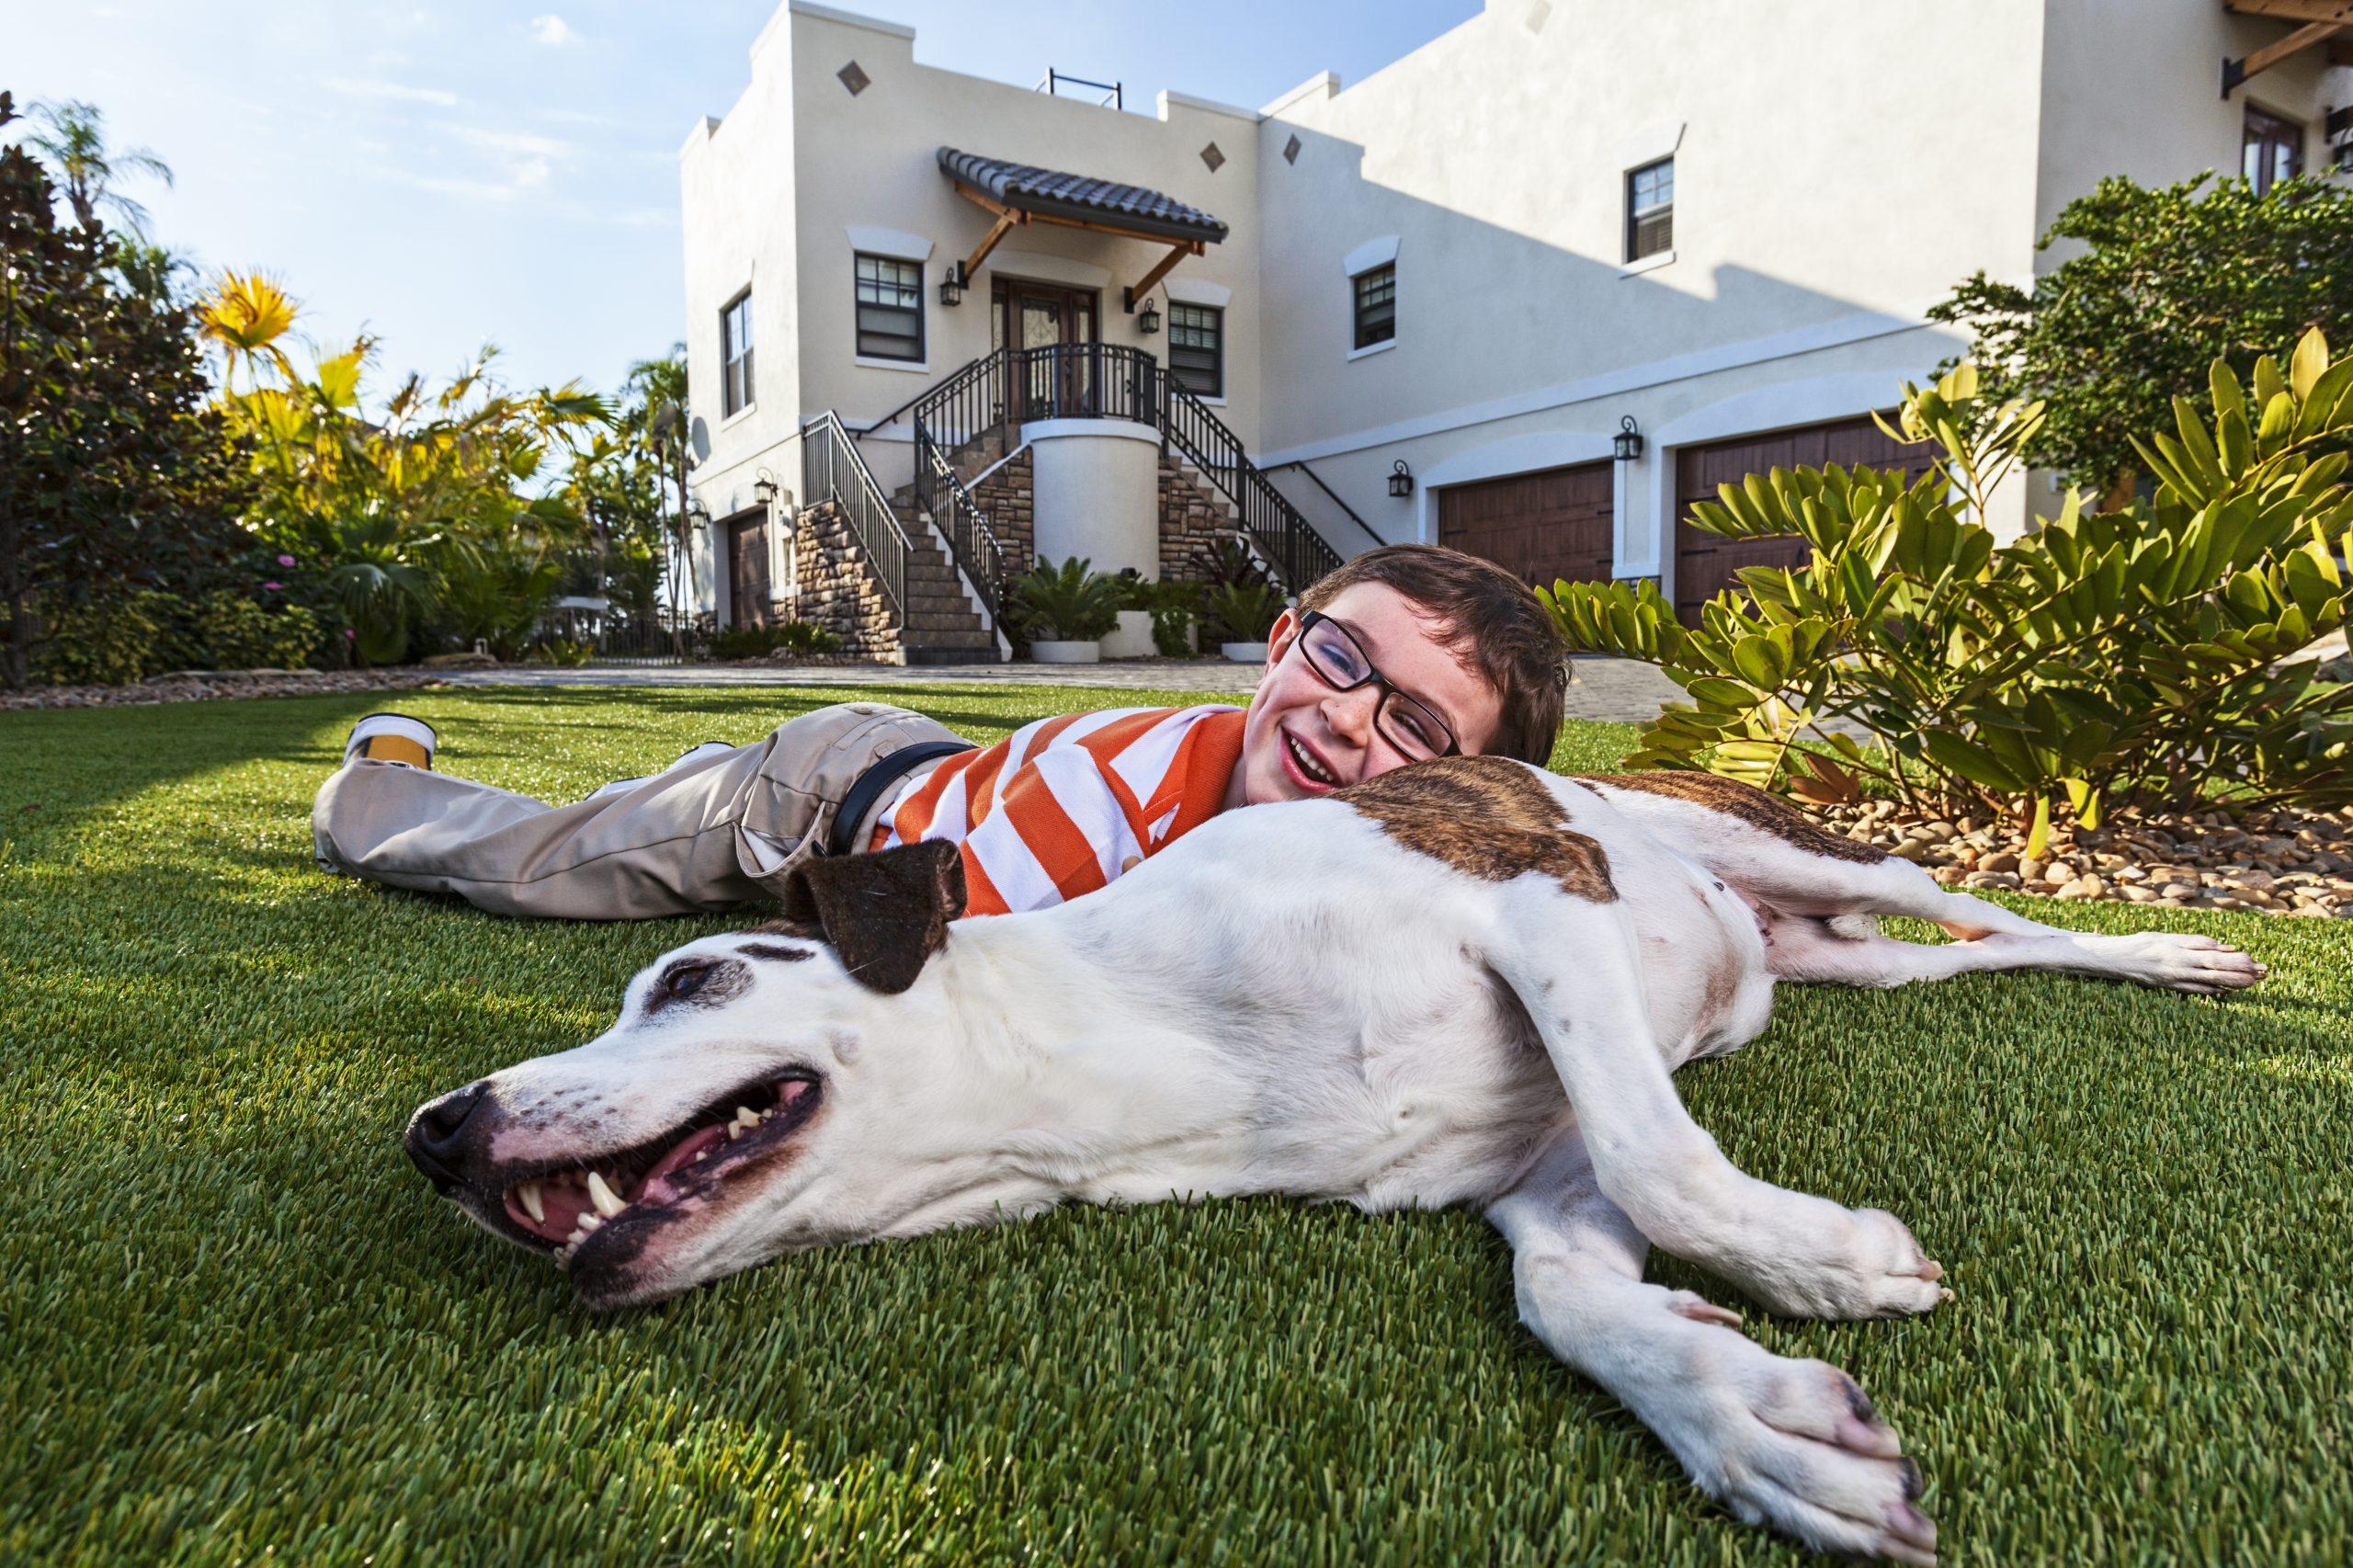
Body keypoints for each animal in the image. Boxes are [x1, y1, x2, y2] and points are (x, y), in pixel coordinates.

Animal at [404, 753, 2258, 1553]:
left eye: (696, 979)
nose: (435, 1130)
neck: (1125, 1061)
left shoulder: (1540, 906)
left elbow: (1665, 1163)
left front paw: (1816, 1258)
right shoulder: (1540, 1175)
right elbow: (1576, 1289)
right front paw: (1753, 1423)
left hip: (1797, 846)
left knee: (2000, 912)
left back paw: (2172, 953)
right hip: (1846, 962)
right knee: (1953, 963)